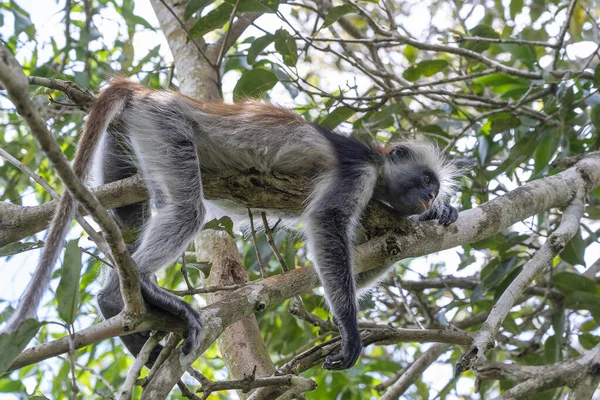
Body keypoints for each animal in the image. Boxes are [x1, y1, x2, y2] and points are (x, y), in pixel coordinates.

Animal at [3, 79, 460, 372]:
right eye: (426, 180)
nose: (430, 197)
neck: (377, 166)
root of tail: (152, 93)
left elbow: (368, 254)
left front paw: (437, 217)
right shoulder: (358, 171)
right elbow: (326, 223)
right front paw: (349, 331)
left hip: (128, 139)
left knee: (128, 218)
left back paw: (120, 302)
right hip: (166, 127)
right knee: (186, 210)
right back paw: (123, 295)